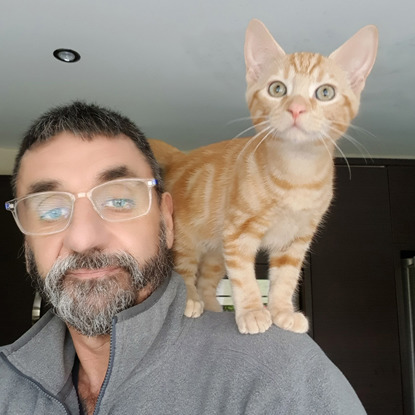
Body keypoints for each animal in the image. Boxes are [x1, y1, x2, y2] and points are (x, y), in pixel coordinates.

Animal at [150, 19, 380, 336]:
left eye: (325, 93)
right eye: (277, 88)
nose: (296, 108)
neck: (297, 177)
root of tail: (180, 156)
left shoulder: (296, 239)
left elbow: (285, 279)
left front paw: (282, 311)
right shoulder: (239, 232)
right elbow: (244, 278)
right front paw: (252, 312)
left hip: (215, 252)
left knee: (207, 279)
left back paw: (212, 307)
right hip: (185, 239)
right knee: (184, 272)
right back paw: (191, 301)